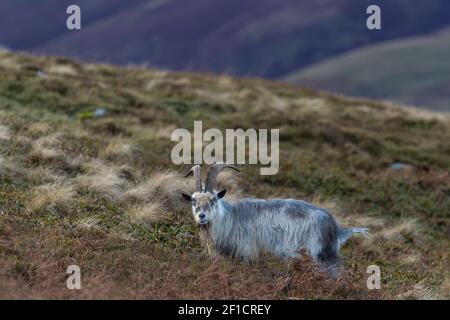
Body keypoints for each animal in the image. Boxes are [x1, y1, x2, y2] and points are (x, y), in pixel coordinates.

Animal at [183, 164, 370, 276]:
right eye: (193, 201)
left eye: (213, 200)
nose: (202, 216)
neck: (230, 218)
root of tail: (336, 229)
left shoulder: (247, 251)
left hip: (319, 254)